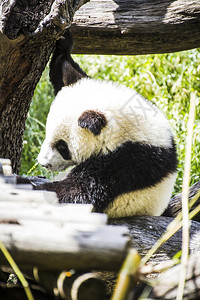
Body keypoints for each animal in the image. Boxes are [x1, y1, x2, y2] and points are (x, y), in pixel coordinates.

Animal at [17, 29, 177, 218]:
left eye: (62, 147)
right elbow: (66, 72)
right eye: (46, 135)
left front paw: (23, 183)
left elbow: (78, 194)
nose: (43, 163)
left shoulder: (128, 161)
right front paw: (63, 42)